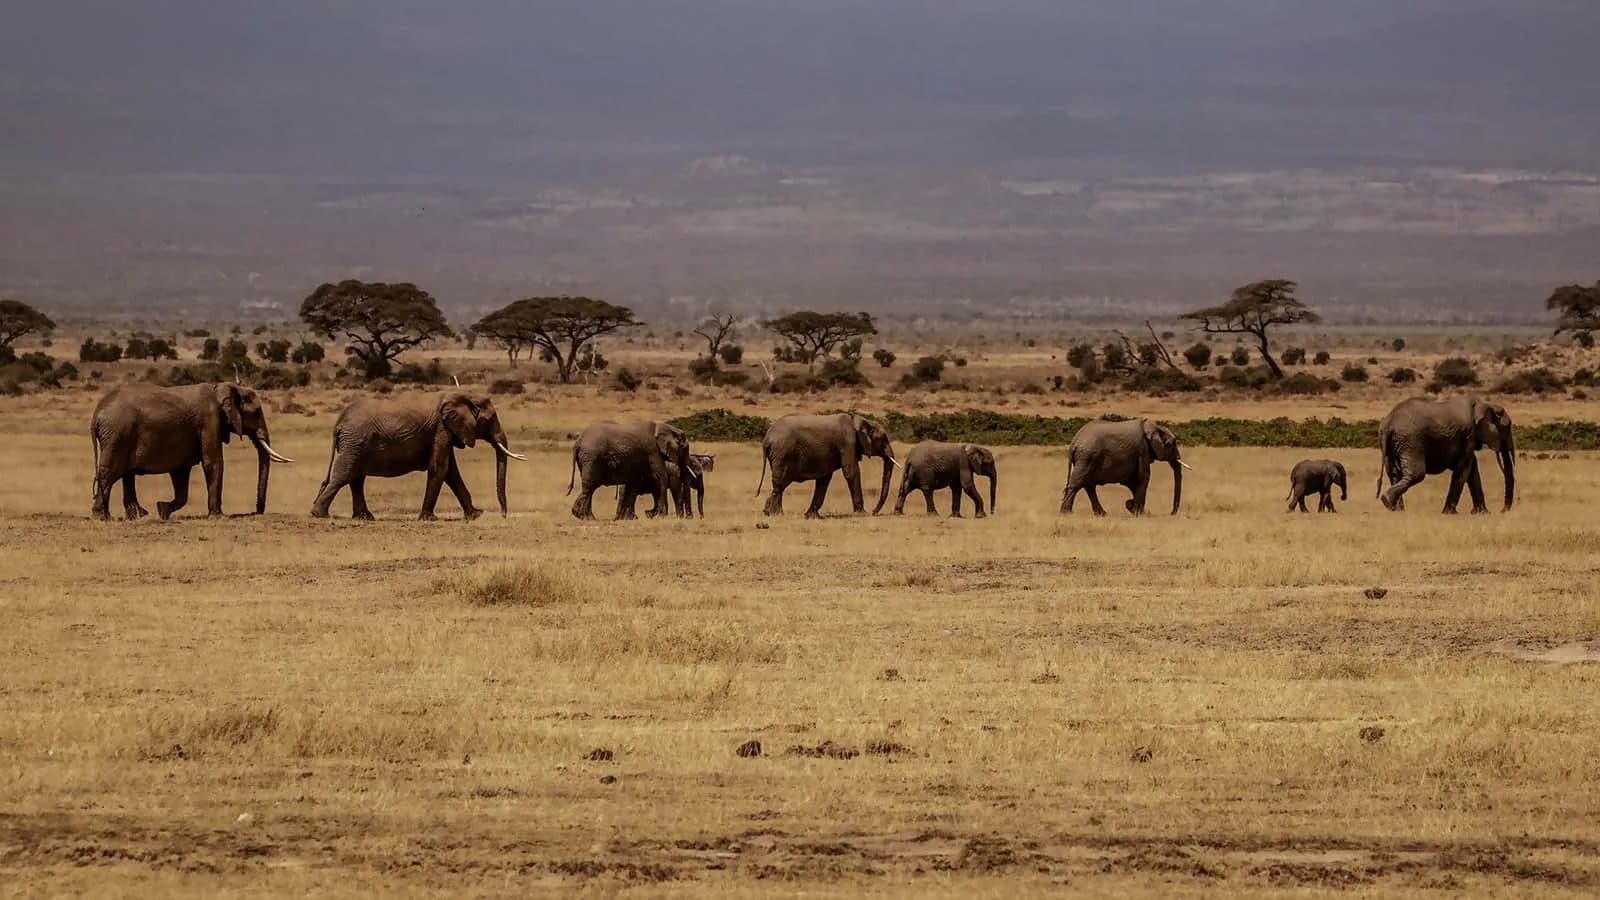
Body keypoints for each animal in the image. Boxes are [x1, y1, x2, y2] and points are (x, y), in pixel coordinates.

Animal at [90, 382, 294, 520]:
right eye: (256, 412)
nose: (256, 511)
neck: (224, 388)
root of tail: (97, 413)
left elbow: (181, 474)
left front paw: (162, 510)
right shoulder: (209, 422)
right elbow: (213, 463)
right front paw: (219, 517)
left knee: (125, 475)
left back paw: (137, 515)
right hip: (117, 435)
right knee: (109, 473)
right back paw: (103, 517)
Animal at [309, 393, 526, 521]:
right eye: (491, 419)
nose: (503, 515)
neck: (463, 396)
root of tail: (339, 421)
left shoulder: (447, 432)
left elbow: (451, 472)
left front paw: (475, 515)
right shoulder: (441, 430)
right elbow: (440, 468)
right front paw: (429, 519)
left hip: (355, 443)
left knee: (356, 478)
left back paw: (364, 517)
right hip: (354, 441)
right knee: (344, 476)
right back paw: (319, 515)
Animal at [756, 413, 897, 518]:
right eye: (883, 438)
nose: (874, 512)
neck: (861, 420)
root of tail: (766, 439)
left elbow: (824, 479)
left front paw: (812, 516)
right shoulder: (847, 443)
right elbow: (851, 472)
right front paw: (862, 514)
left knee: (779, 484)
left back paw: (773, 513)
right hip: (783, 454)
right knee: (780, 483)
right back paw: (773, 513)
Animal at [1060, 418, 1188, 516]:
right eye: (1171, 444)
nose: (1172, 513)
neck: (1152, 425)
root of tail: (1074, 442)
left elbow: (1133, 482)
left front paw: (1133, 507)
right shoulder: (1142, 450)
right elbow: (1144, 477)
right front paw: (1139, 513)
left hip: (1086, 458)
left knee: (1088, 485)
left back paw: (1101, 514)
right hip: (1087, 457)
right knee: (1077, 484)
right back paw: (1067, 513)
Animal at [1377, 396, 1514, 514]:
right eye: (1507, 428)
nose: (1502, 511)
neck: (1487, 404)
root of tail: (1388, 423)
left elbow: (1472, 469)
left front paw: (1482, 514)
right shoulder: (1469, 434)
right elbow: (1464, 468)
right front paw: (1449, 513)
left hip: (1395, 443)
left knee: (1394, 474)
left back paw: (1394, 508)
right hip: (1411, 440)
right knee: (1417, 474)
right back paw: (1388, 502)